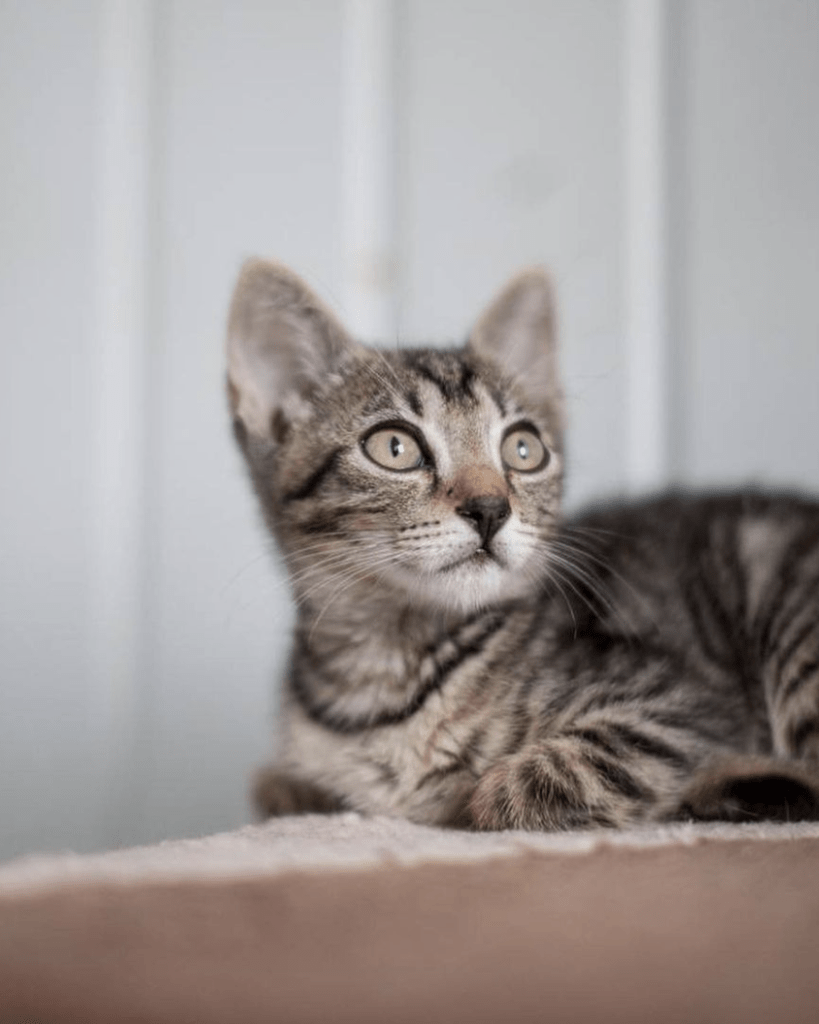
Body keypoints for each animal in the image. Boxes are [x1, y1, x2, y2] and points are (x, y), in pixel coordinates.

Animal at [227, 260, 818, 827]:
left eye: (523, 449)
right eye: (394, 447)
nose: (490, 508)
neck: (385, 671)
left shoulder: (686, 699)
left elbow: (577, 765)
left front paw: (486, 793)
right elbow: (276, 785)